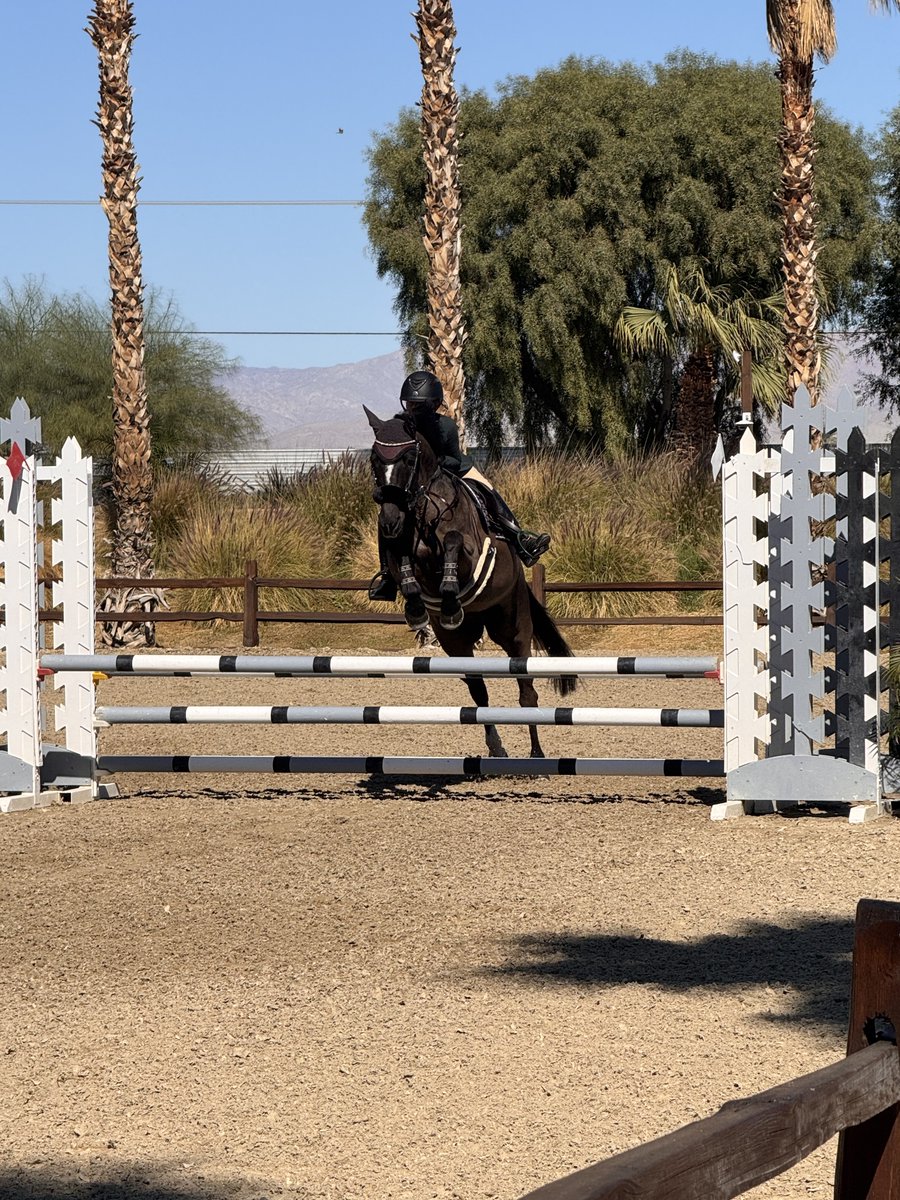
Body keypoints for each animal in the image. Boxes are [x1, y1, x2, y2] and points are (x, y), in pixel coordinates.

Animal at [364, 406, 576, 758]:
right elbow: (403, 564)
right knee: (479, 693)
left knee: (526, 692)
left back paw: (536, 754)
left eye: (409, 457)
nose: (390, 520)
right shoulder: (399, 548)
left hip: (514, 628)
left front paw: (449, 594)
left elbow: (451, 542)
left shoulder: (469, 550)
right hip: (458, 643)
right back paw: (496, 747)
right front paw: (416, 610)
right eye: (374, 459)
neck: (425, 508)